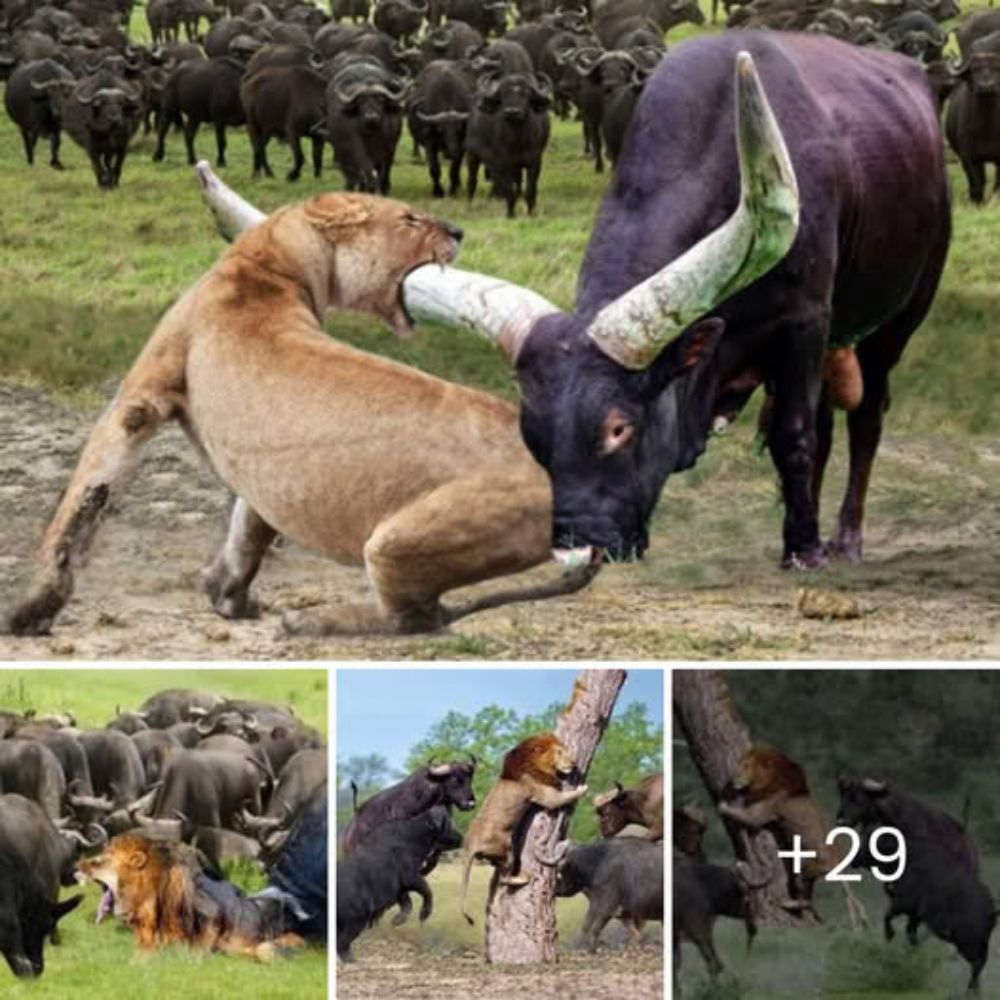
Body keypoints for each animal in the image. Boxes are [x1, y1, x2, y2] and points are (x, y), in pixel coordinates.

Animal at [458, 732, 588, 924]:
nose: (573, 763)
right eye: (559, 752)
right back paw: (523, 878)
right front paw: (583, 788)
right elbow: (566, 796)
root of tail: (470, 845)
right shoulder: (545, 795)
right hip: (507, 849)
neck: (533, 762)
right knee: (504, 879)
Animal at [720, 748, 868, 924]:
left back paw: (785, 902)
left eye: (745, 766)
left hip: (802, 869)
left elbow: (743, 815)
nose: (732, 780)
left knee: (804, 899)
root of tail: (839, 863)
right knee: (809, 899)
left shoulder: (763, 811)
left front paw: (722, 805)